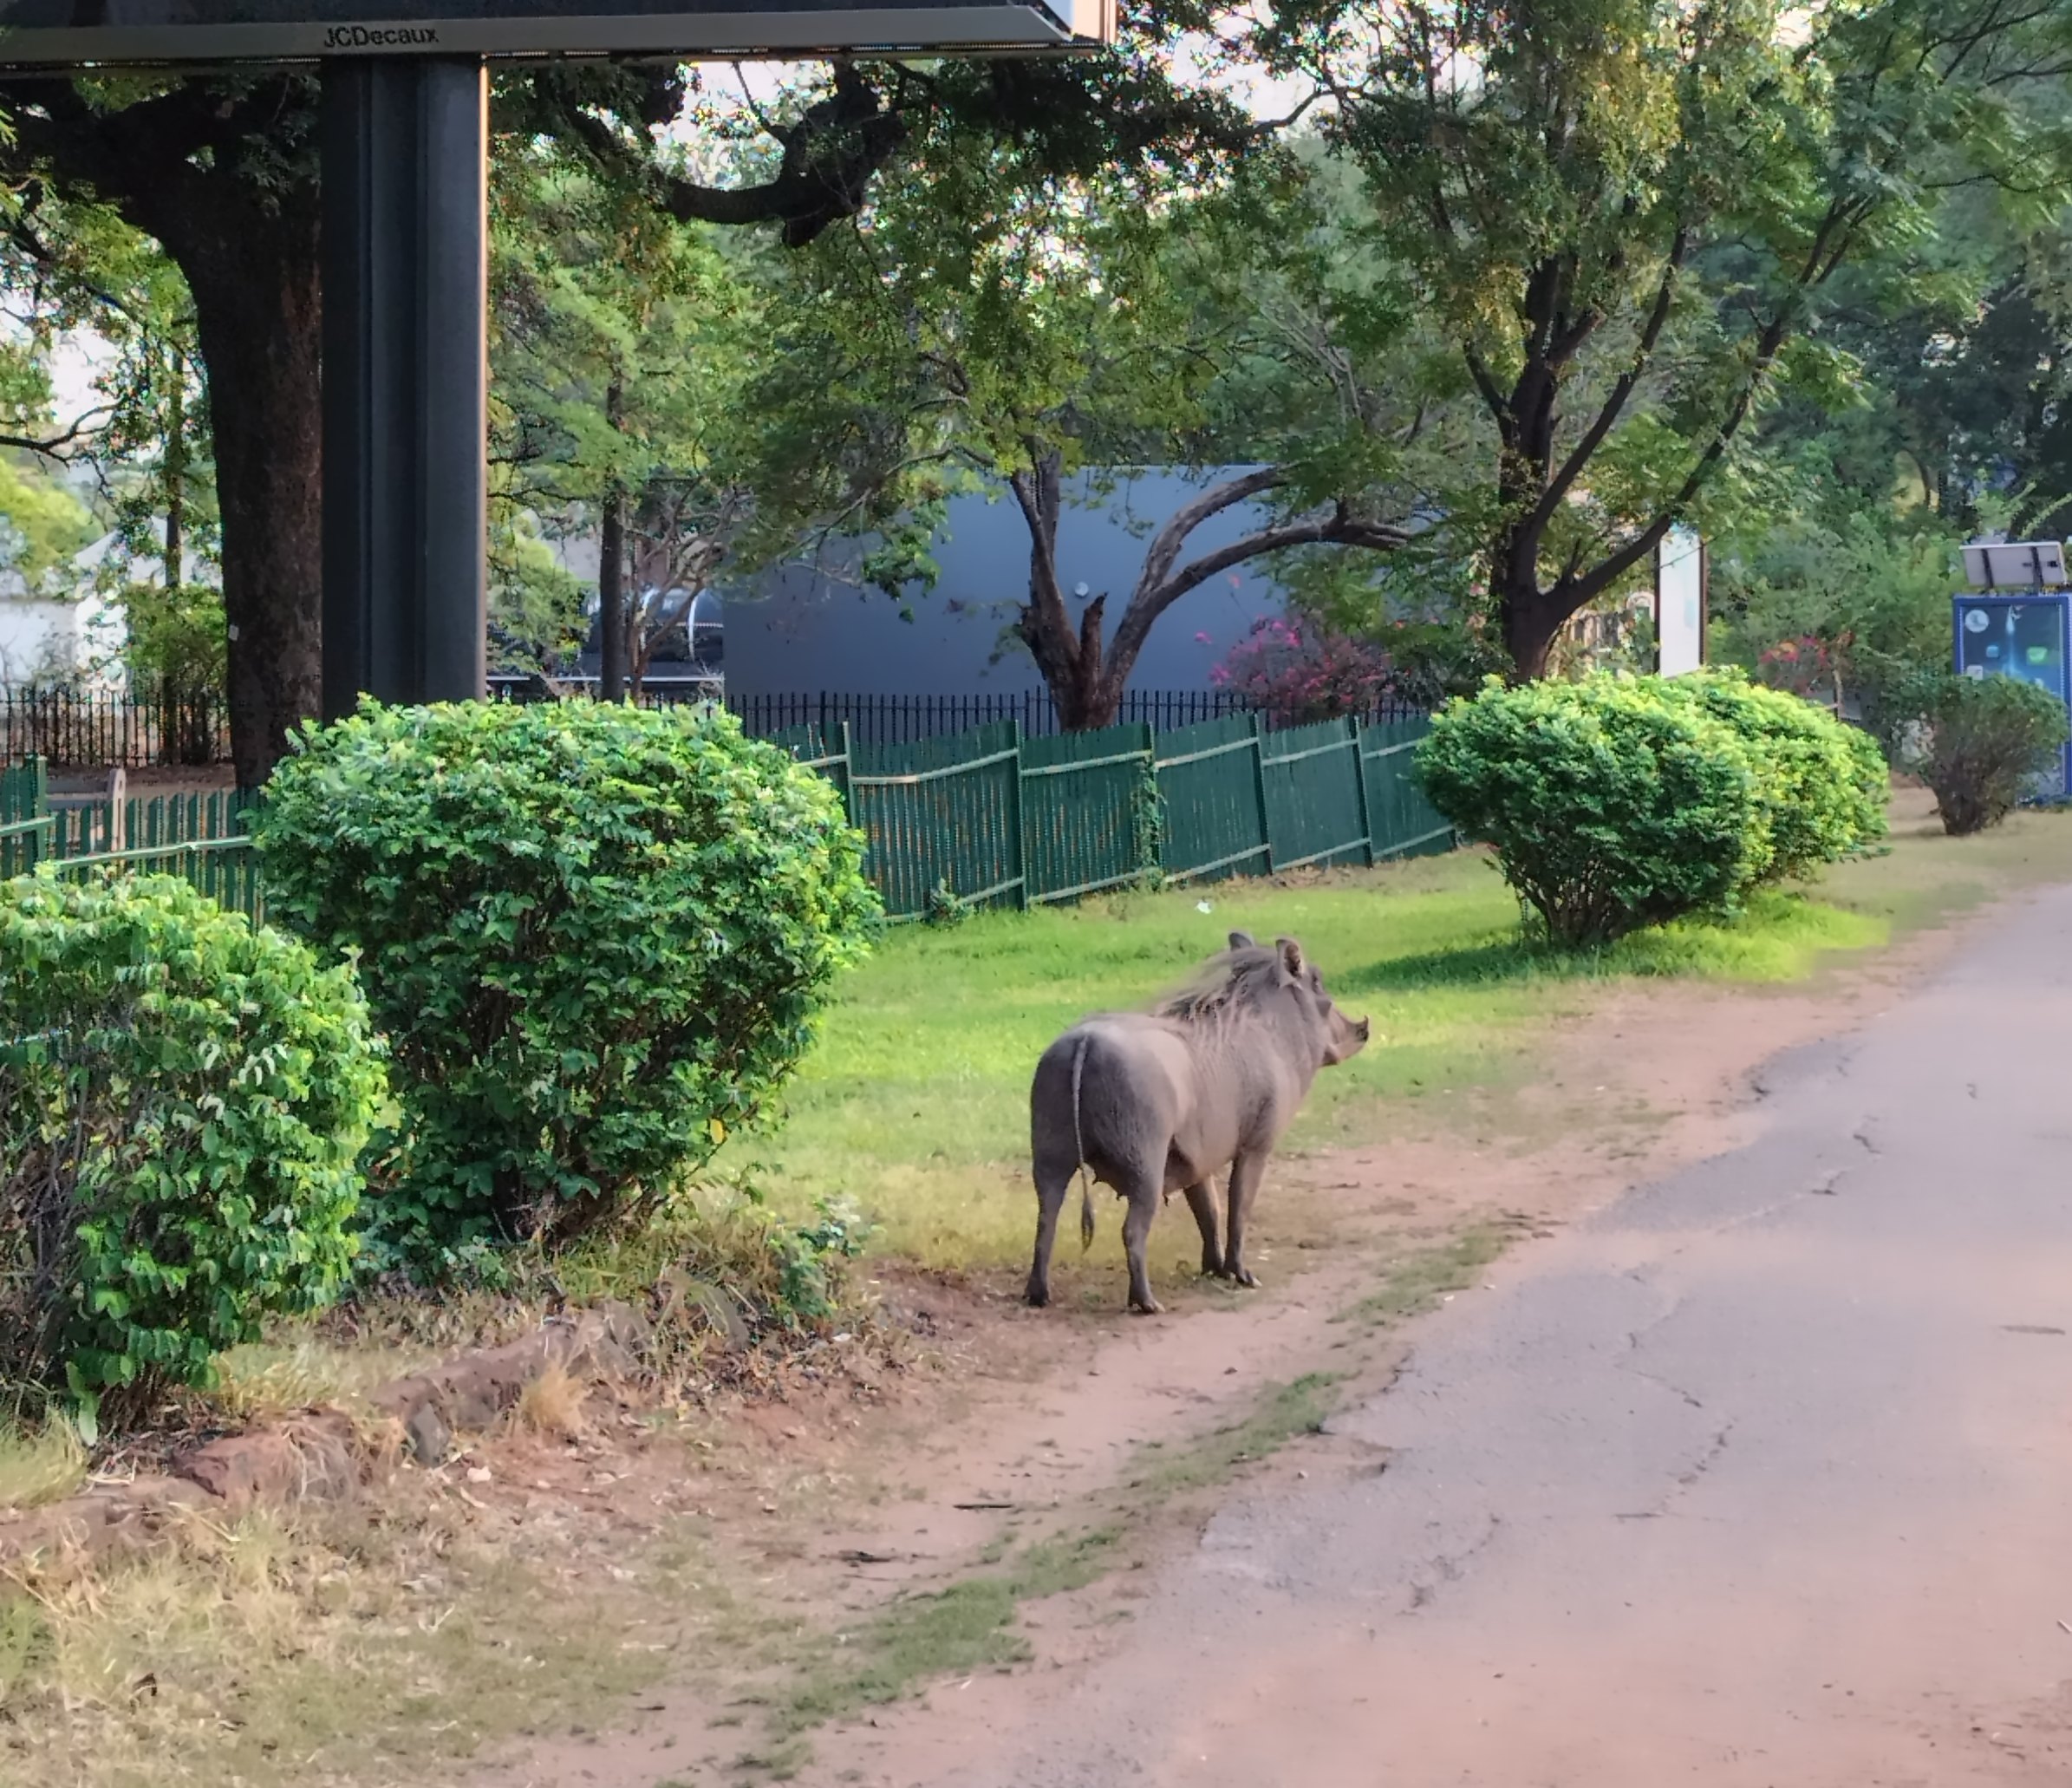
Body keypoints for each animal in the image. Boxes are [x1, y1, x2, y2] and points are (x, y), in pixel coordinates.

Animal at [1025, 931, 1371, 1314]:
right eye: (1317, 982)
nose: (1364, 1029)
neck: (1273, 1029)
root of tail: (1084, 1041)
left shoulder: (1195, 1160)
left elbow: (1208, 1212)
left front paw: (1215, 1270)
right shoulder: (1257, 1145)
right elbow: (1238, 1209)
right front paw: (1242, 1276)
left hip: (1050, 1157)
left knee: (1045, 1220)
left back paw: (1038, 1295)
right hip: (1144, 1167)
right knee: (1132, 1230)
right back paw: (1147, 1303)